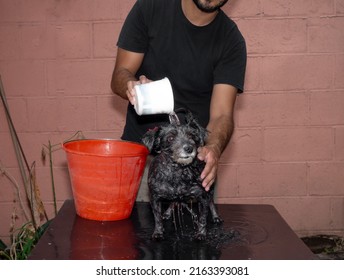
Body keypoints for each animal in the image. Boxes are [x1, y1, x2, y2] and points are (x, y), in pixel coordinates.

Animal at [141, 109, 222, 241]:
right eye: (170, 138)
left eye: (192, 136)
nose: (189, 148)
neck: (178, 171)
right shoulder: (154, 197)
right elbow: (157, 217)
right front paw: (158, 232)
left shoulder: (202, 196)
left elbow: (203, 218)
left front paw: (201, 233)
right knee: (174, 201)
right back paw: (167, 213)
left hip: (210, 188)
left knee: (211, 203)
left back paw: (216, 217)